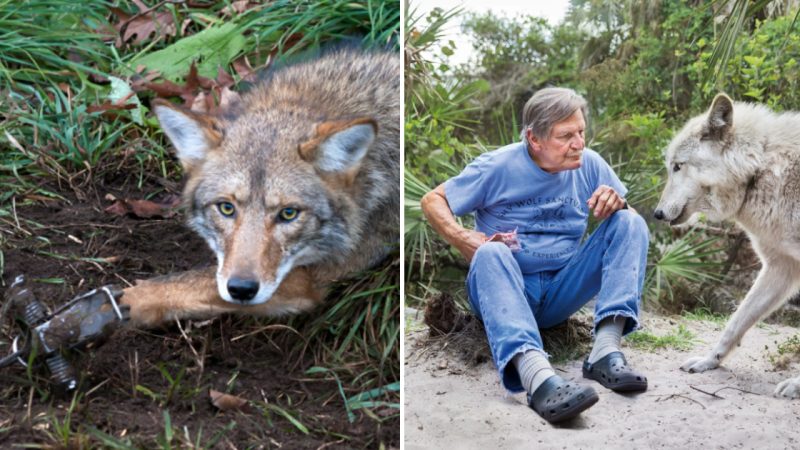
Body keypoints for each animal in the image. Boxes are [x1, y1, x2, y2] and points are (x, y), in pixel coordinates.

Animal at [121, 47, 400, 326]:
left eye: (289, 213)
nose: (241, 289)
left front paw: (127, 300)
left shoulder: (310, 278)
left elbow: (190, 283)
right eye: (226, 208)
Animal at [656, 93, 800, 396]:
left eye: (678, 166)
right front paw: (709, 360)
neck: (759, 171)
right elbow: (735, 321)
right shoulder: (781, 268)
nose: (657, 214)